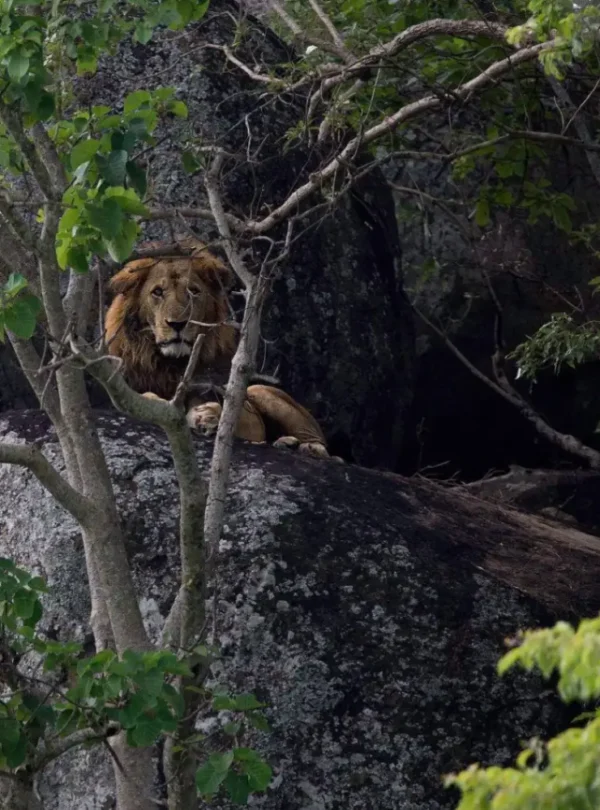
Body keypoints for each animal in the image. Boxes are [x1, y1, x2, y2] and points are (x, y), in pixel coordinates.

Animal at [105, 240, 330, 458]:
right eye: (157, 292)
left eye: (193, 291)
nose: (178, 323)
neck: (170, 364)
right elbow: (147, 399)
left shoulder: (247, 421)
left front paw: (206, 415)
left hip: (262, 393)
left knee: (324, 447)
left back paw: (306, 447)